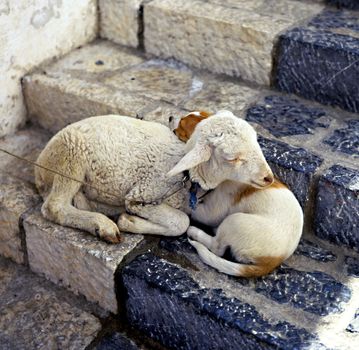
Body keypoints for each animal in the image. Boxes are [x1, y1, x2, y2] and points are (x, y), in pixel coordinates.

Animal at [35, 110, 274, 242]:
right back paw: (102, 225)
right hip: (70, 156)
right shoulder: (141, 196)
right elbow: (182, 222)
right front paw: (129, 221)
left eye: (256, 140)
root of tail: (39, 167)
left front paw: (130, 221)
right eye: (232, 158)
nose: (268, 178)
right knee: (54, 207)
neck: (186, 174)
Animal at [175, 111, 304, 276]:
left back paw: (195, 232)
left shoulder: (211, 213)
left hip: (234, 221)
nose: (171, 118)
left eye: (182, 126)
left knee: (217, 248)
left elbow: (189, 207)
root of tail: (273, 262)